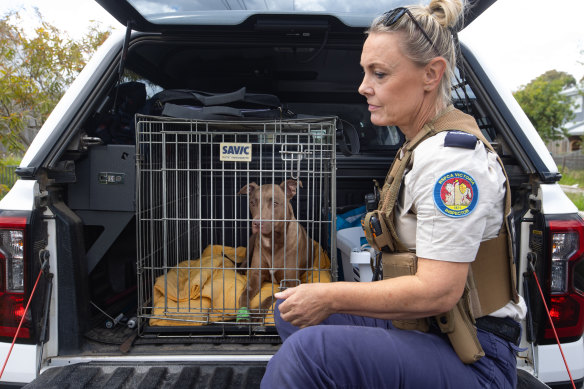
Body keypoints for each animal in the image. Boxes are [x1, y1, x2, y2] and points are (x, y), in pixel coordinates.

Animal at [236, 179, 310, 312]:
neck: (272, 241)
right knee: (245, 260)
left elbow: (271, 297)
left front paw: (257, 313)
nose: (257, 223)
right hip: (252, 241)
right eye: (252, 203)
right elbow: (244, 295)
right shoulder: (255, 276)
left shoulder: (290, 283)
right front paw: (244, 312)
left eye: (275, 203)